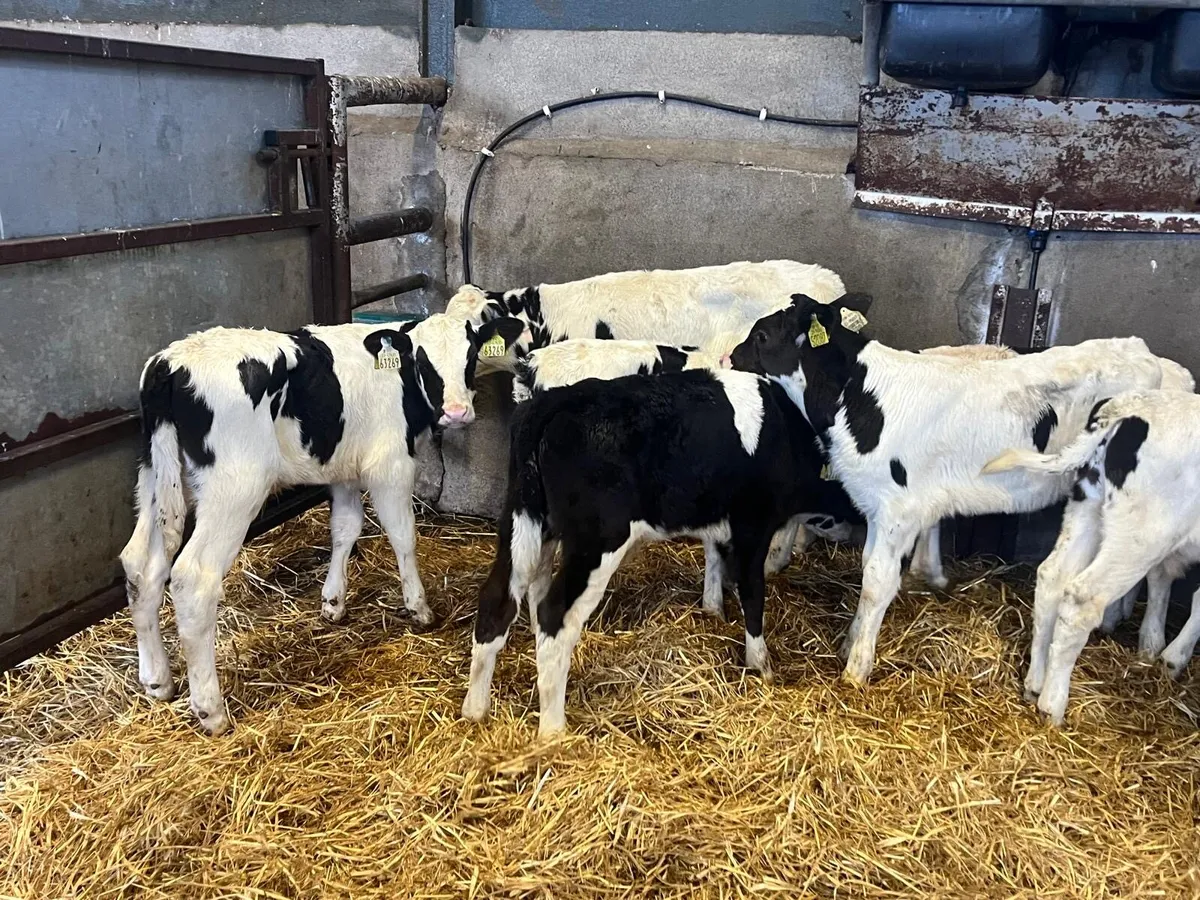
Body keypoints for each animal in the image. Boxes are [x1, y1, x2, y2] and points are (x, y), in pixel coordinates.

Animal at [119, 314, 524, 734]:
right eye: (424, 361)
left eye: (471, 354)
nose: (457, 412)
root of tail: (172, 361)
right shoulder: (390, 465)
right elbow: (402, 535)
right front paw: (419, 607)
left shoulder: (344, 468)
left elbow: (346, 527)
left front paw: (333, 601)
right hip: (234, 490)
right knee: (192, 579)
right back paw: (210, 710)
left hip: (155, 478)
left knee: (140, 565)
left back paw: (157, 680)